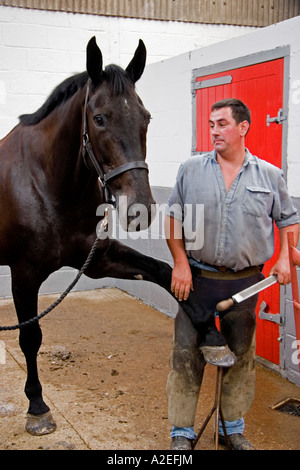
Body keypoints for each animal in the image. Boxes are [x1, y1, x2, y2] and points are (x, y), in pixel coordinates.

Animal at [0, 36, 225, 436]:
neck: (45, 181)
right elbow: (30, 337)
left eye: (146, 117)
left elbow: (165, 273)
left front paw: (212, 335)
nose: (141, 208)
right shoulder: (24, 274)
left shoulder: (95, 258)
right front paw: (37, 406)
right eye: (99, 118)